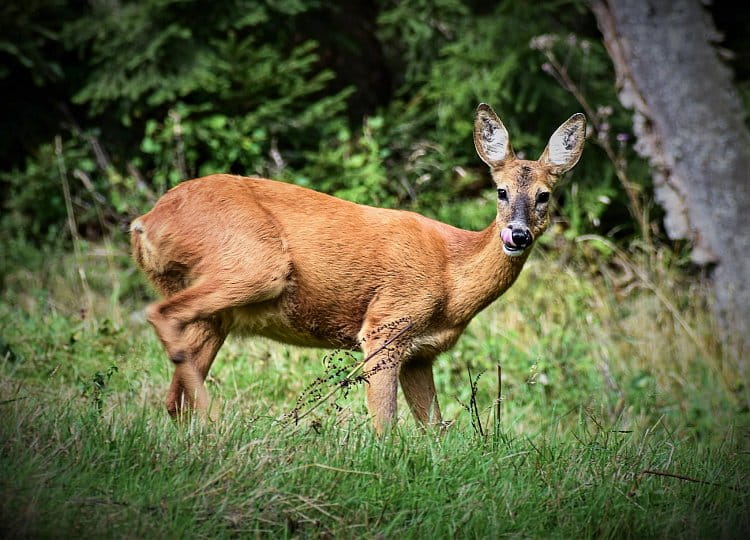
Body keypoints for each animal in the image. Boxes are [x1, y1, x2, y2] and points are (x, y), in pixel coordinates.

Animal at [131, 105, 588, 432]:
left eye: (544, 195)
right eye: (501, 191)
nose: (517, 235)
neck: (452, 278)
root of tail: (147, 221)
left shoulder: (421, 354)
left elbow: (435, 428)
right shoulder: (386, 324)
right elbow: (385, 426)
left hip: (218, 311)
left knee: (173, 396)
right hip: (254, 264)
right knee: (160, 316)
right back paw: (216, 417)